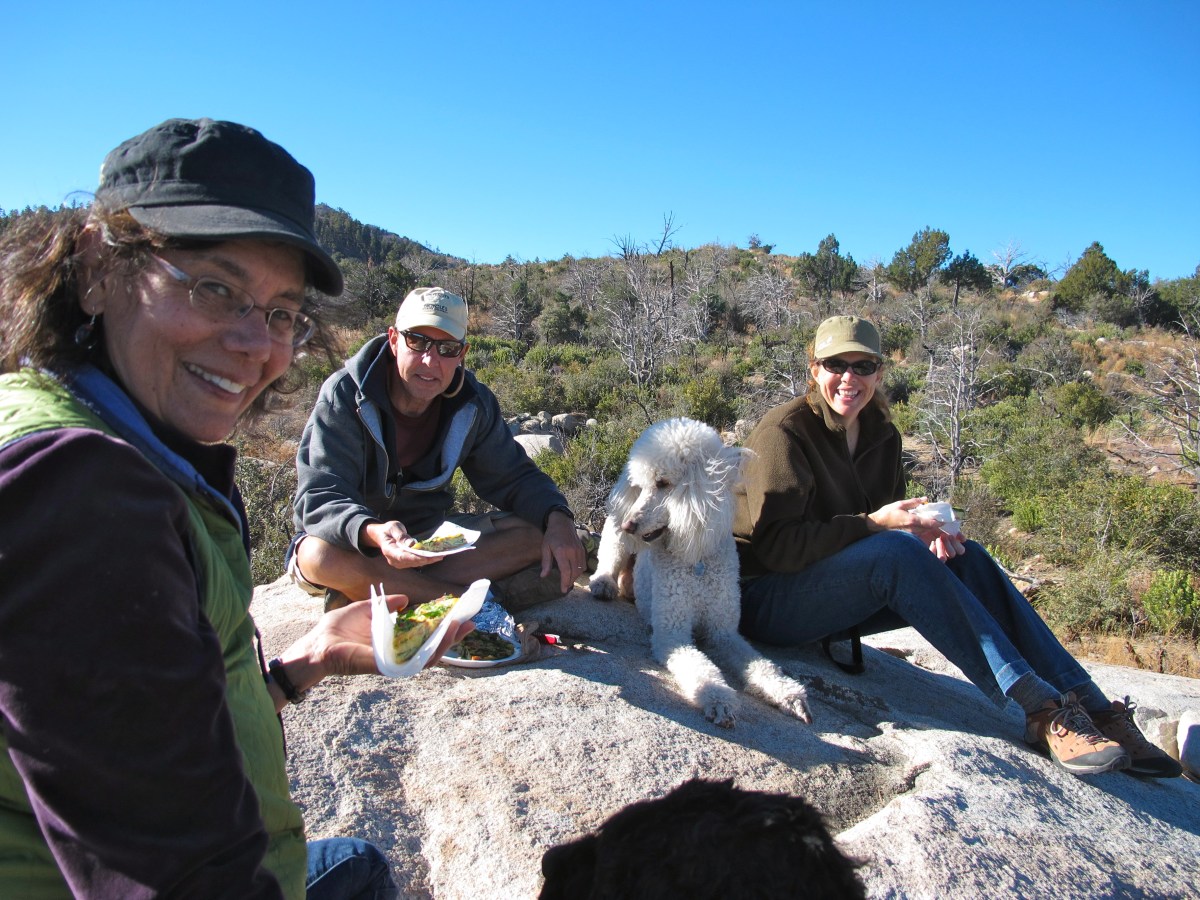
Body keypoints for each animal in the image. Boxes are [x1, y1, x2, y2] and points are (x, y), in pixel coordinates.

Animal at [589, 417, 811, 728]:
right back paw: (604, 584)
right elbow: (700, 667)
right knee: (608, 558)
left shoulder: (724, 632)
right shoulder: (673, 633)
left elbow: (761, 664)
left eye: (662, 483)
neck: (697, 560)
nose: (629, 525)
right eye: (640, 486)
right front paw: (720, 699)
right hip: (617, 540)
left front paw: (789, 693)